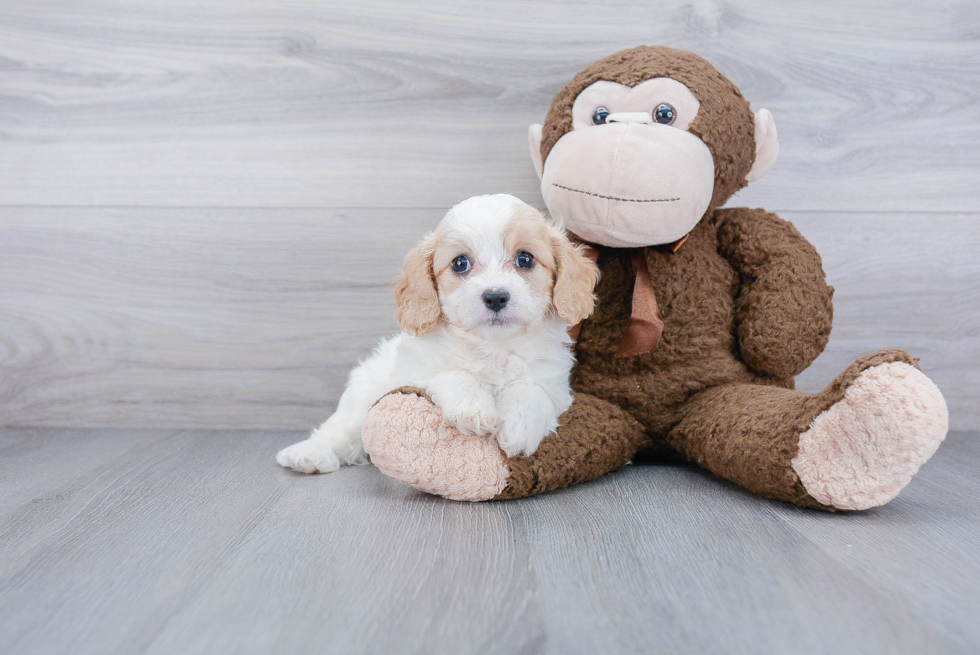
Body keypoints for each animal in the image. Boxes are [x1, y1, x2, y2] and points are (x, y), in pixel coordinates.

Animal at [274, 192, 596, 474]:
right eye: (460, 263)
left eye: (525, 259)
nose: (495, 297)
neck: (492, 348)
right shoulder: (416, 371)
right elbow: (453, 374)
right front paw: (474, 410)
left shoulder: (554, 384)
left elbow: (529, 389)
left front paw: (519, 427)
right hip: (363, 395)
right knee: (340, 431)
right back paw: (308, 455)